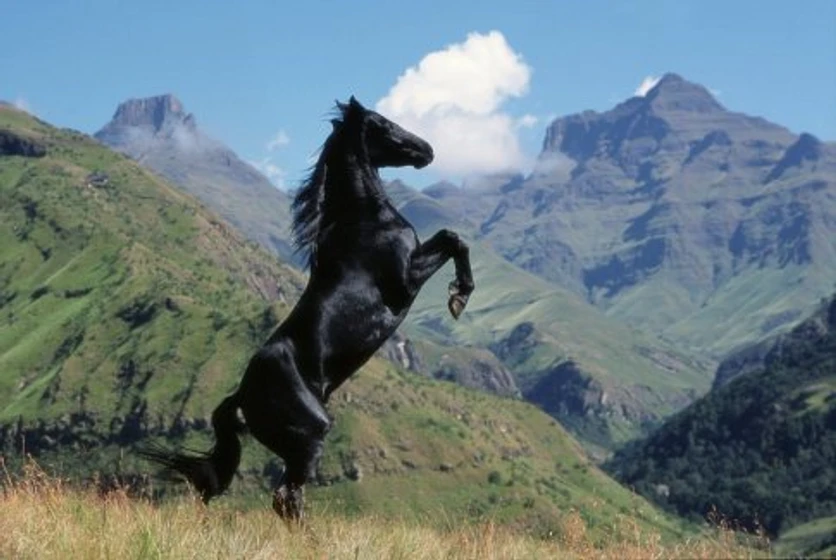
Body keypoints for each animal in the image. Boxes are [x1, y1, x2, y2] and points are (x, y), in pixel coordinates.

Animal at [140, 96, 475, 521]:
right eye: (382, 123)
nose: (427, 149)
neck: (363, 220)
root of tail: (242, 398)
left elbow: (452, 238)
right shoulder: (405, 281)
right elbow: (452, 238)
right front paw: (459, 297)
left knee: (286, 498)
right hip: (311, 435)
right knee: (287, 497)